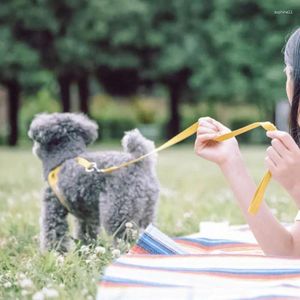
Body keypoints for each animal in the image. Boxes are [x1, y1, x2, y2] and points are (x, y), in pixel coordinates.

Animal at [28, 113, 159, 252]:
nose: (34, 148)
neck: (64, 159)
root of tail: (139, 162)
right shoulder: (87, 216)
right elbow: (86, 234)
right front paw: (86, 250)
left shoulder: (53, 208)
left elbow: (53, 235)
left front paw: (53, 254)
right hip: (146, 210)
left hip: (119, 212)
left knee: (126, 237)